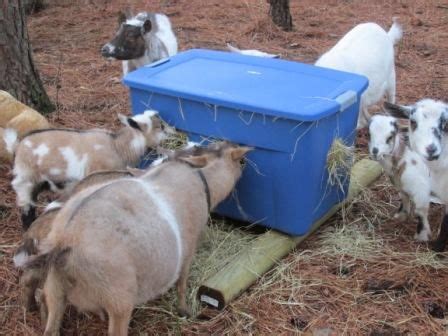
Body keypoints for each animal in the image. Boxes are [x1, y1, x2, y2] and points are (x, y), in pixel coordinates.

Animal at [23, 142, 252, 336]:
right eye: (237, 159)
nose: (245, 160)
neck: (201, 179)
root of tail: (65, 240)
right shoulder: (188, 248)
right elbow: (182, 281)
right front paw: (184, 311)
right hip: (119, 297)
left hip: (55, 286)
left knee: (47, 311)